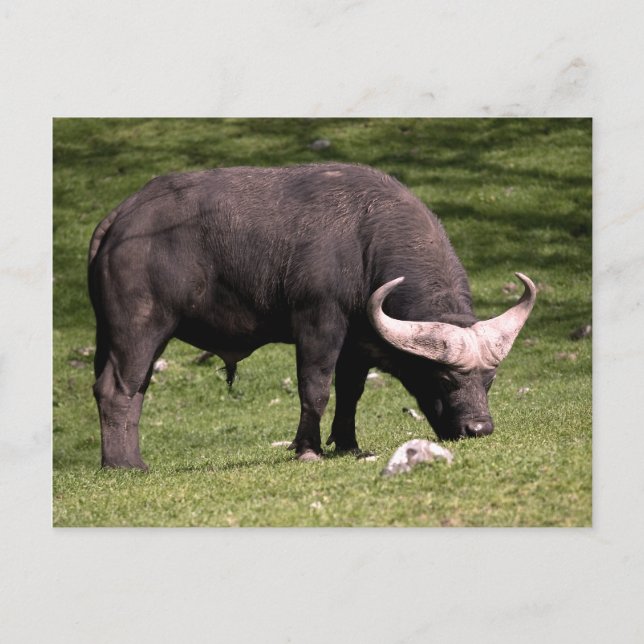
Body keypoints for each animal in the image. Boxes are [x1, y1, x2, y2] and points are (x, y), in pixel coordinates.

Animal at [88, 163, 536, 469]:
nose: (478, 429)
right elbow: (316, 388)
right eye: (442, 378)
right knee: (118, 389)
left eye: (490, 380)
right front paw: (308, 449)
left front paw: (348, 444)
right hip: (140, 328)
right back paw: (126, 465)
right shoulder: (319, 324)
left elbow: (350, 392)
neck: (365, 243)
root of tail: (121, 217)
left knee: (129, 388)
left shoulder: (358, 342)